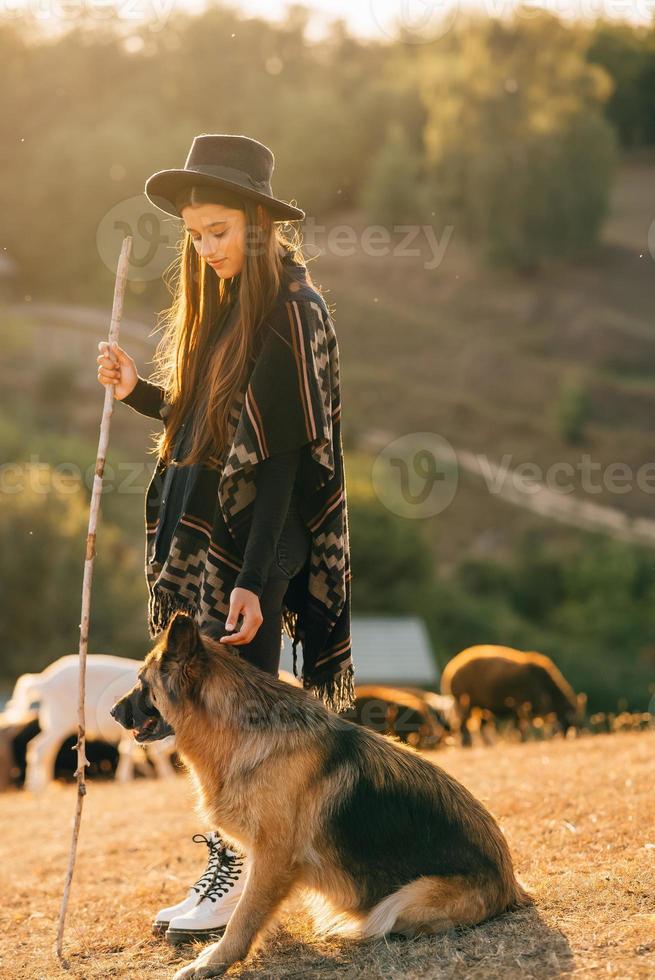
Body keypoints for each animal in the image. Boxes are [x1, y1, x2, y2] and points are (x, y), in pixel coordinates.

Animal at [111, 608, 532, 976]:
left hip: (405, 899)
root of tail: (511, 884)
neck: (238, 731)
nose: (113, 712)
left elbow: (244, 915)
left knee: (389, 919)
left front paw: (214, 960)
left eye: (142, 683)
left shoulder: (274, 856)